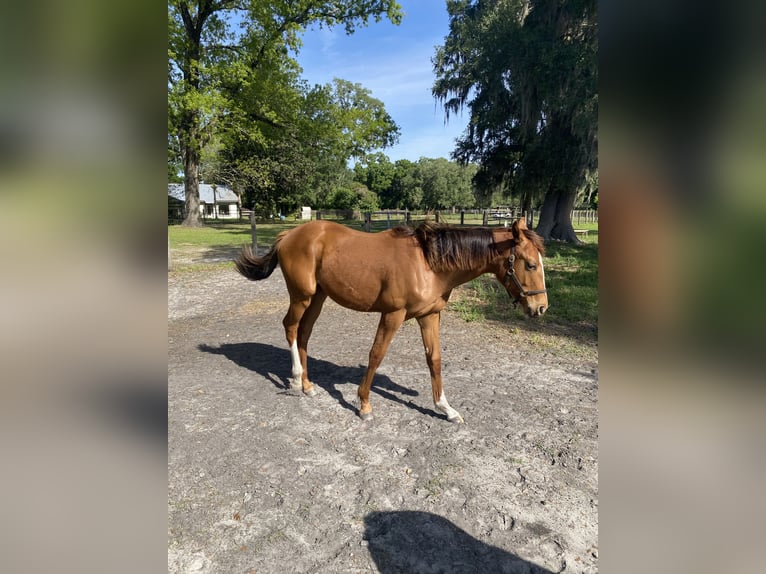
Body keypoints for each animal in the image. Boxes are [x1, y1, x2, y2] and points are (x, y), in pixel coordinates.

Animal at [234, 218, 544, 426]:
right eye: (530, 264)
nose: (540, 307)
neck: (428, 263)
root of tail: (289, 234)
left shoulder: (429, 316)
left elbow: (434, 360)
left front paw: (446, 408)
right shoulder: (393, 315)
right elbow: (376, 355)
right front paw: (364, 405)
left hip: (318, 298)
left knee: (304, 334)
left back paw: (309, 385)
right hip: (302, 296)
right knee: (290, 328)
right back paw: (297, 380)